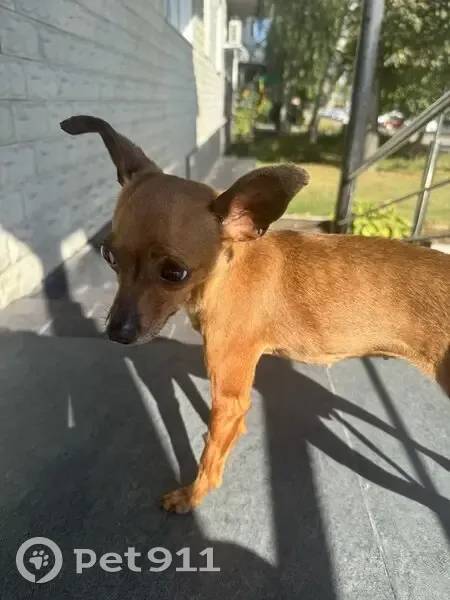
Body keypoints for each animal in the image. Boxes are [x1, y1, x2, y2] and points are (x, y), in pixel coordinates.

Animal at [60, 115, 450, 514]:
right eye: (109, 257)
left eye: (174, 272)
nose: (117, 332)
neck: (225, 271)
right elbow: (219, 438)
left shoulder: (229, 396)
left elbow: (208, 459)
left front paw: (193, 495)